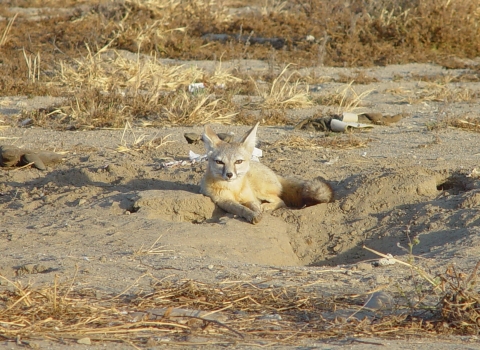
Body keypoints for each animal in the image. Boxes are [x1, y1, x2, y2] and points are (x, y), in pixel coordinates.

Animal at [200, 121, 334, 223]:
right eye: (219, 162)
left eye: (238, 161)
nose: (229, 174)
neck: (235, 190)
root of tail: (275, 174)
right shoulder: (224, 201)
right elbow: (240, 208)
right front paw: (251, 214)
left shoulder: (251, 198)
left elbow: (255, 206)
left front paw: (257, 212)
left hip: (261, 191)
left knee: (281, 201)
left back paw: (266, 206)